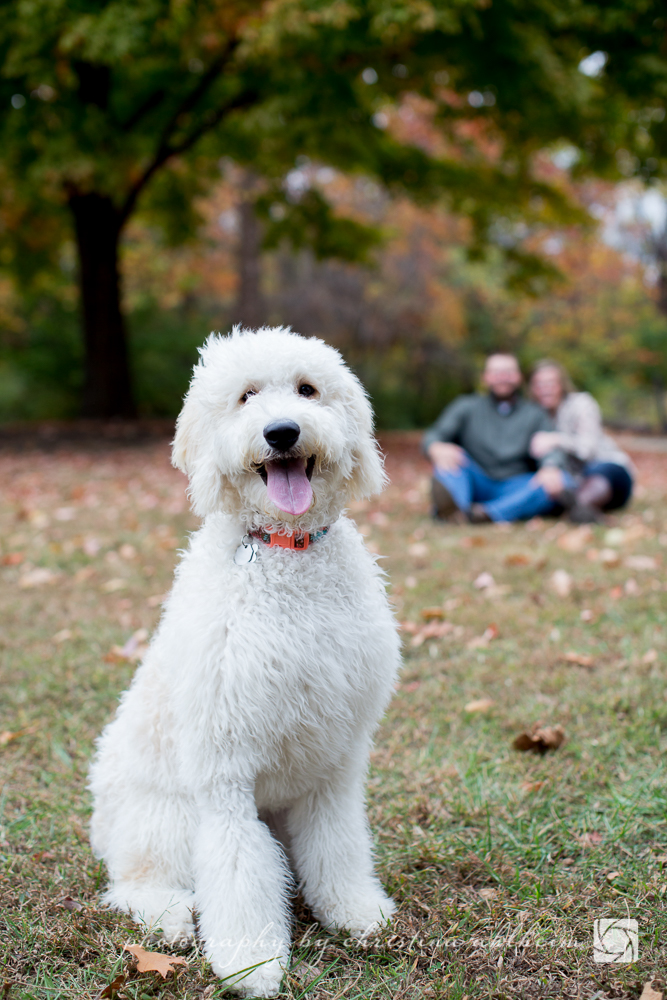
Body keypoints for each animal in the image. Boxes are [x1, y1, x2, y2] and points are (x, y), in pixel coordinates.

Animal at [90, 326, 402, 992]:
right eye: (246, 396)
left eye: (308, 389)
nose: (282, 432)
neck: (287, 552)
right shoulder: (224, 771)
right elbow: (238, 868)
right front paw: (251, 960)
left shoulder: (335, 761)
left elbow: (337, 843)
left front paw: (355, 912)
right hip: (163, 821)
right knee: (134, 886)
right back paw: (172, 919)